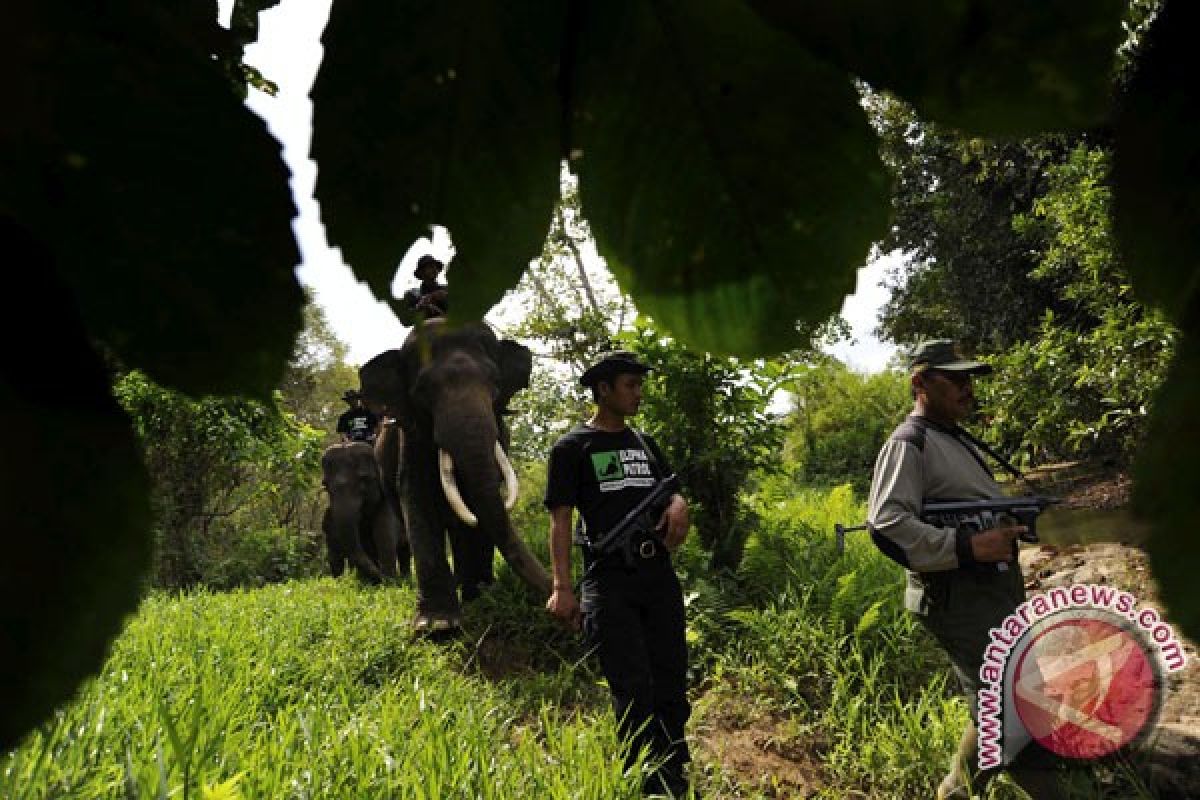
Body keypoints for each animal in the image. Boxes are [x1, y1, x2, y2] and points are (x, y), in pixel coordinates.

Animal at [321, 441, 410, 585]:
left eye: (364, 479)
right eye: (326, 486)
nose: (384, 579)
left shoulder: (386, 500)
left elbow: (384, 536)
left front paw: (390, 583)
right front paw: (365, 583)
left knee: (405, 551)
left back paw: (405, 578)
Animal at [360, 319, 552, 633]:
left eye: (495, 385)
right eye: (423, 391)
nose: (556, 600)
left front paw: (484, 596)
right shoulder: (412, 435)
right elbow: (417, 497)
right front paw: (437, 626)